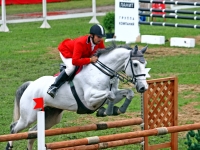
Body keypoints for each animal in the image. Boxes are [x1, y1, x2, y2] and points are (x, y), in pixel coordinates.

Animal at [5, 42, 148, 149]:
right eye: (135, 64)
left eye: (145, 64)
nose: (143, 88)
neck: (103, 72)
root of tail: (30, 85)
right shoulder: (90, 100)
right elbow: (110, 95)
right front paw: (106, 111)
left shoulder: (109, 95)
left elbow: (127, 93)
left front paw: (117, 110)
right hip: (28, 117)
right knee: (14, 128)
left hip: (51, 117)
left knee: (32, 132)